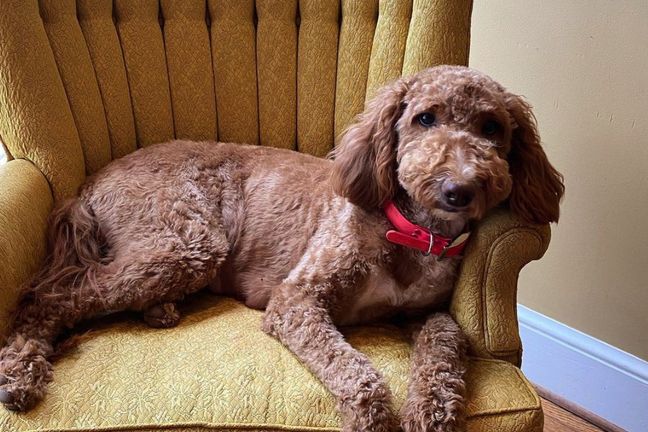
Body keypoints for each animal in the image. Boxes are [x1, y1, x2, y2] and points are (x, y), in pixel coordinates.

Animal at [0, 65, 564, 431]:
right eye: (425, 118)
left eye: (492, 128)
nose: (460, 189)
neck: (410, 230)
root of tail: (89, 185)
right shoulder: (296, 300)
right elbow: (354, 370)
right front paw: (374, 414)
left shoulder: (426, 312)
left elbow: (446, 345)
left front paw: (432, 410)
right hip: (189, 243)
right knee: (53, 297)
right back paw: (20, 372)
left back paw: (159, 310)